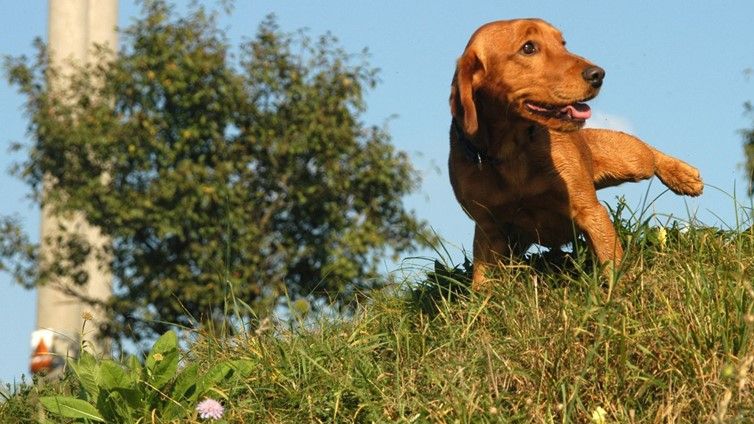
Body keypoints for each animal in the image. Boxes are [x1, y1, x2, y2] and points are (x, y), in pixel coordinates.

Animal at [446, 18, 700, 286]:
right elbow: (482, 284)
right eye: (528, 47)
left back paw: (685, 176)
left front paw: (620, 290)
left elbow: (612, 261)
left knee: (648, 152)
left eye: (562, 43)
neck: (510, 153)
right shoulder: (489, 230)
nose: (598, 74)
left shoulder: (590, 211)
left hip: (632, 161)